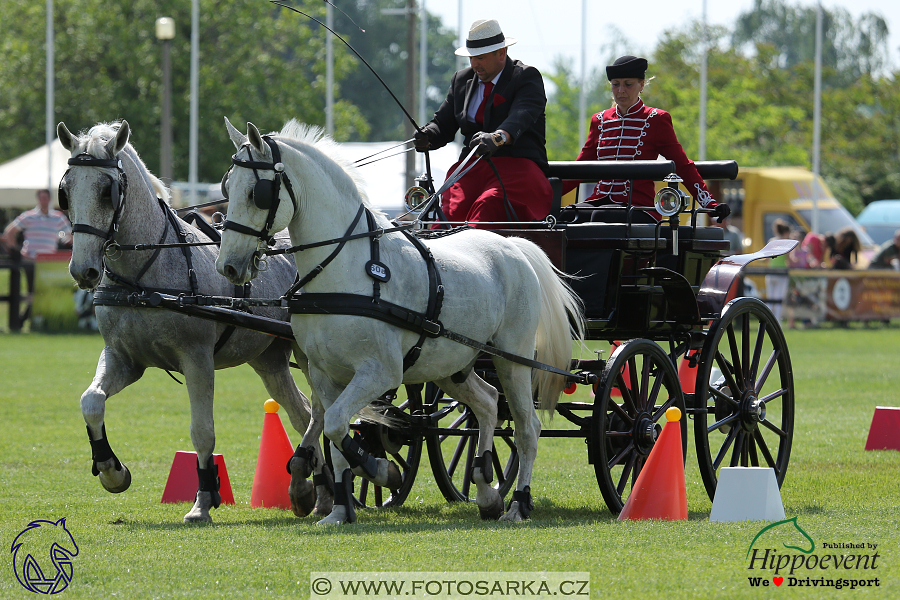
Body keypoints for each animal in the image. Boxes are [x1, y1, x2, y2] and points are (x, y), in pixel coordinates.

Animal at [60, 120, 334, 520]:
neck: (146, 275)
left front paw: (204, 499)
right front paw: (112, 470)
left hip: (313, 352)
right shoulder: (124, 359)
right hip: (269, 360)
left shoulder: (197, 359)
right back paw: (316, 490)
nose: (84, 270)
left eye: (106, 191)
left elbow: (202, 430)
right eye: (65, 191)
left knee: (322, 409)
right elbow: (91, 401)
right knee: (303, 411)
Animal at [216, 119, 584, 524]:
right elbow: (333, 432)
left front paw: (381, 470)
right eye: (227, 187)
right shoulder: (324, 374)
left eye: (257, 193)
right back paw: (486, 490)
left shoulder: (380, 372)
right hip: (451, 365)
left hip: (512, 360)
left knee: (526, 428)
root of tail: (514, 244)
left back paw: (519, 502)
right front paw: (340, 509)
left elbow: (338, 424)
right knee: (487, 404)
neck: (345, 268)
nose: (228, 266)